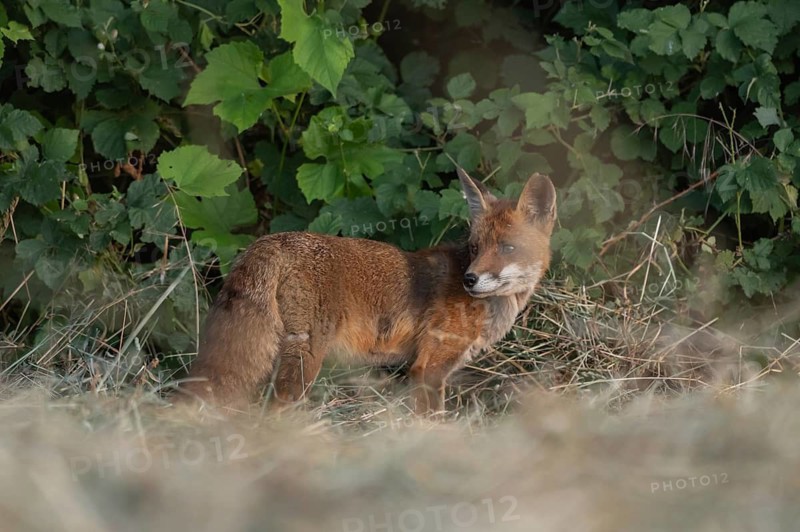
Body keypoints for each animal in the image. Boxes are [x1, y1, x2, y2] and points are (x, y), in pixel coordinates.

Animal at [180, 168, 557, 414]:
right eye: (476, 248)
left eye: (507, 248)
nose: (470, 279)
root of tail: (272, 241)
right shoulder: (429, 367)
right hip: (305, 359)